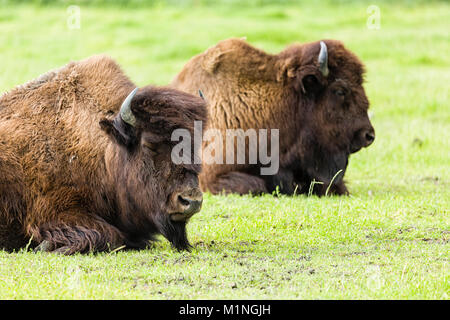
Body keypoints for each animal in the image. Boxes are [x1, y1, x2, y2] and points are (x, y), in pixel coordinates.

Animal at [0, 55, 207, 255]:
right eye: (149, 144)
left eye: (196, 144)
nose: (191, 201)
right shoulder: (54, 211)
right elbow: (110, 236)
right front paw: (45, 246)